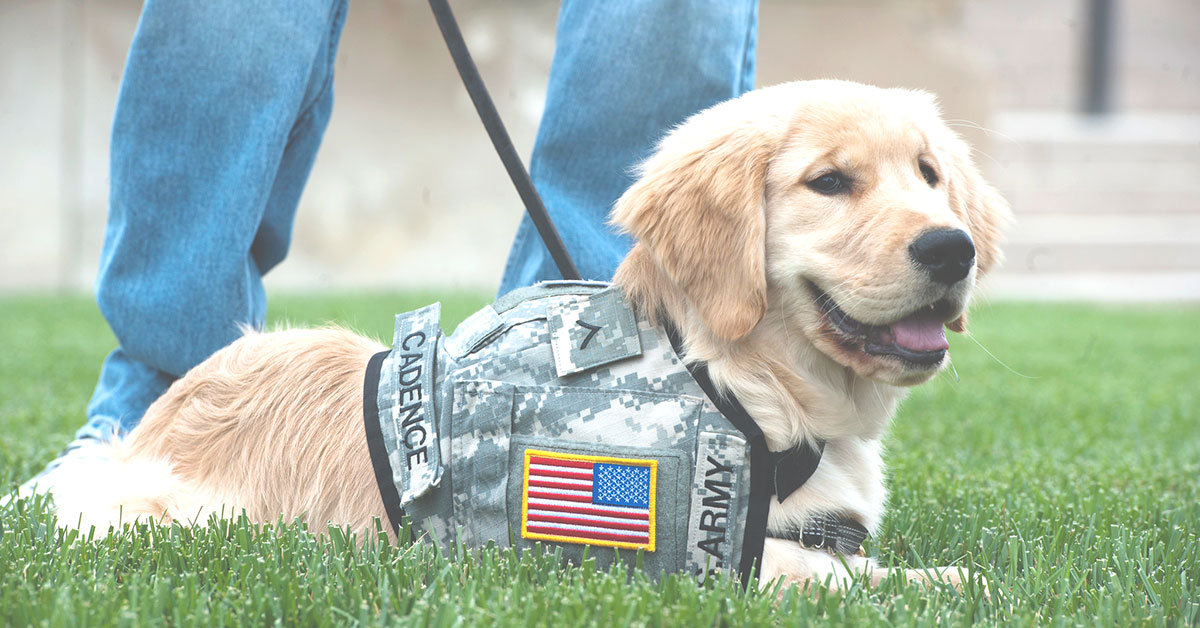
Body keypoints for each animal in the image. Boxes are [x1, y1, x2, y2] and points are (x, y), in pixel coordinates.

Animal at [46, 81, 1003, 593]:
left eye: (928, 174)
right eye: (829, 182)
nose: (950, 248)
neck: (740, 381)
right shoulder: (683, 556)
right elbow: (831, 575)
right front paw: (953, 584)